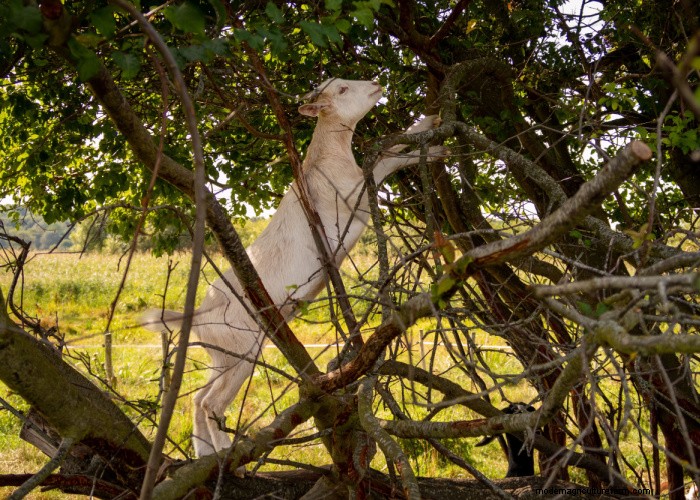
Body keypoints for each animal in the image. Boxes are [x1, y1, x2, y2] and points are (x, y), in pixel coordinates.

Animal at [142, 78, 444, 457]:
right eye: (342, 90)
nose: (376, 83)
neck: (326, 158)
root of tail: (198, 314)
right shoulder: (351, 197)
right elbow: (384, 162)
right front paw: (434, 147)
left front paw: (430, 122)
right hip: (242, 351)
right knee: (211, 403)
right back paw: (227, 455)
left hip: (221, 357)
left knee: (196, 400)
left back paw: (205, 453)